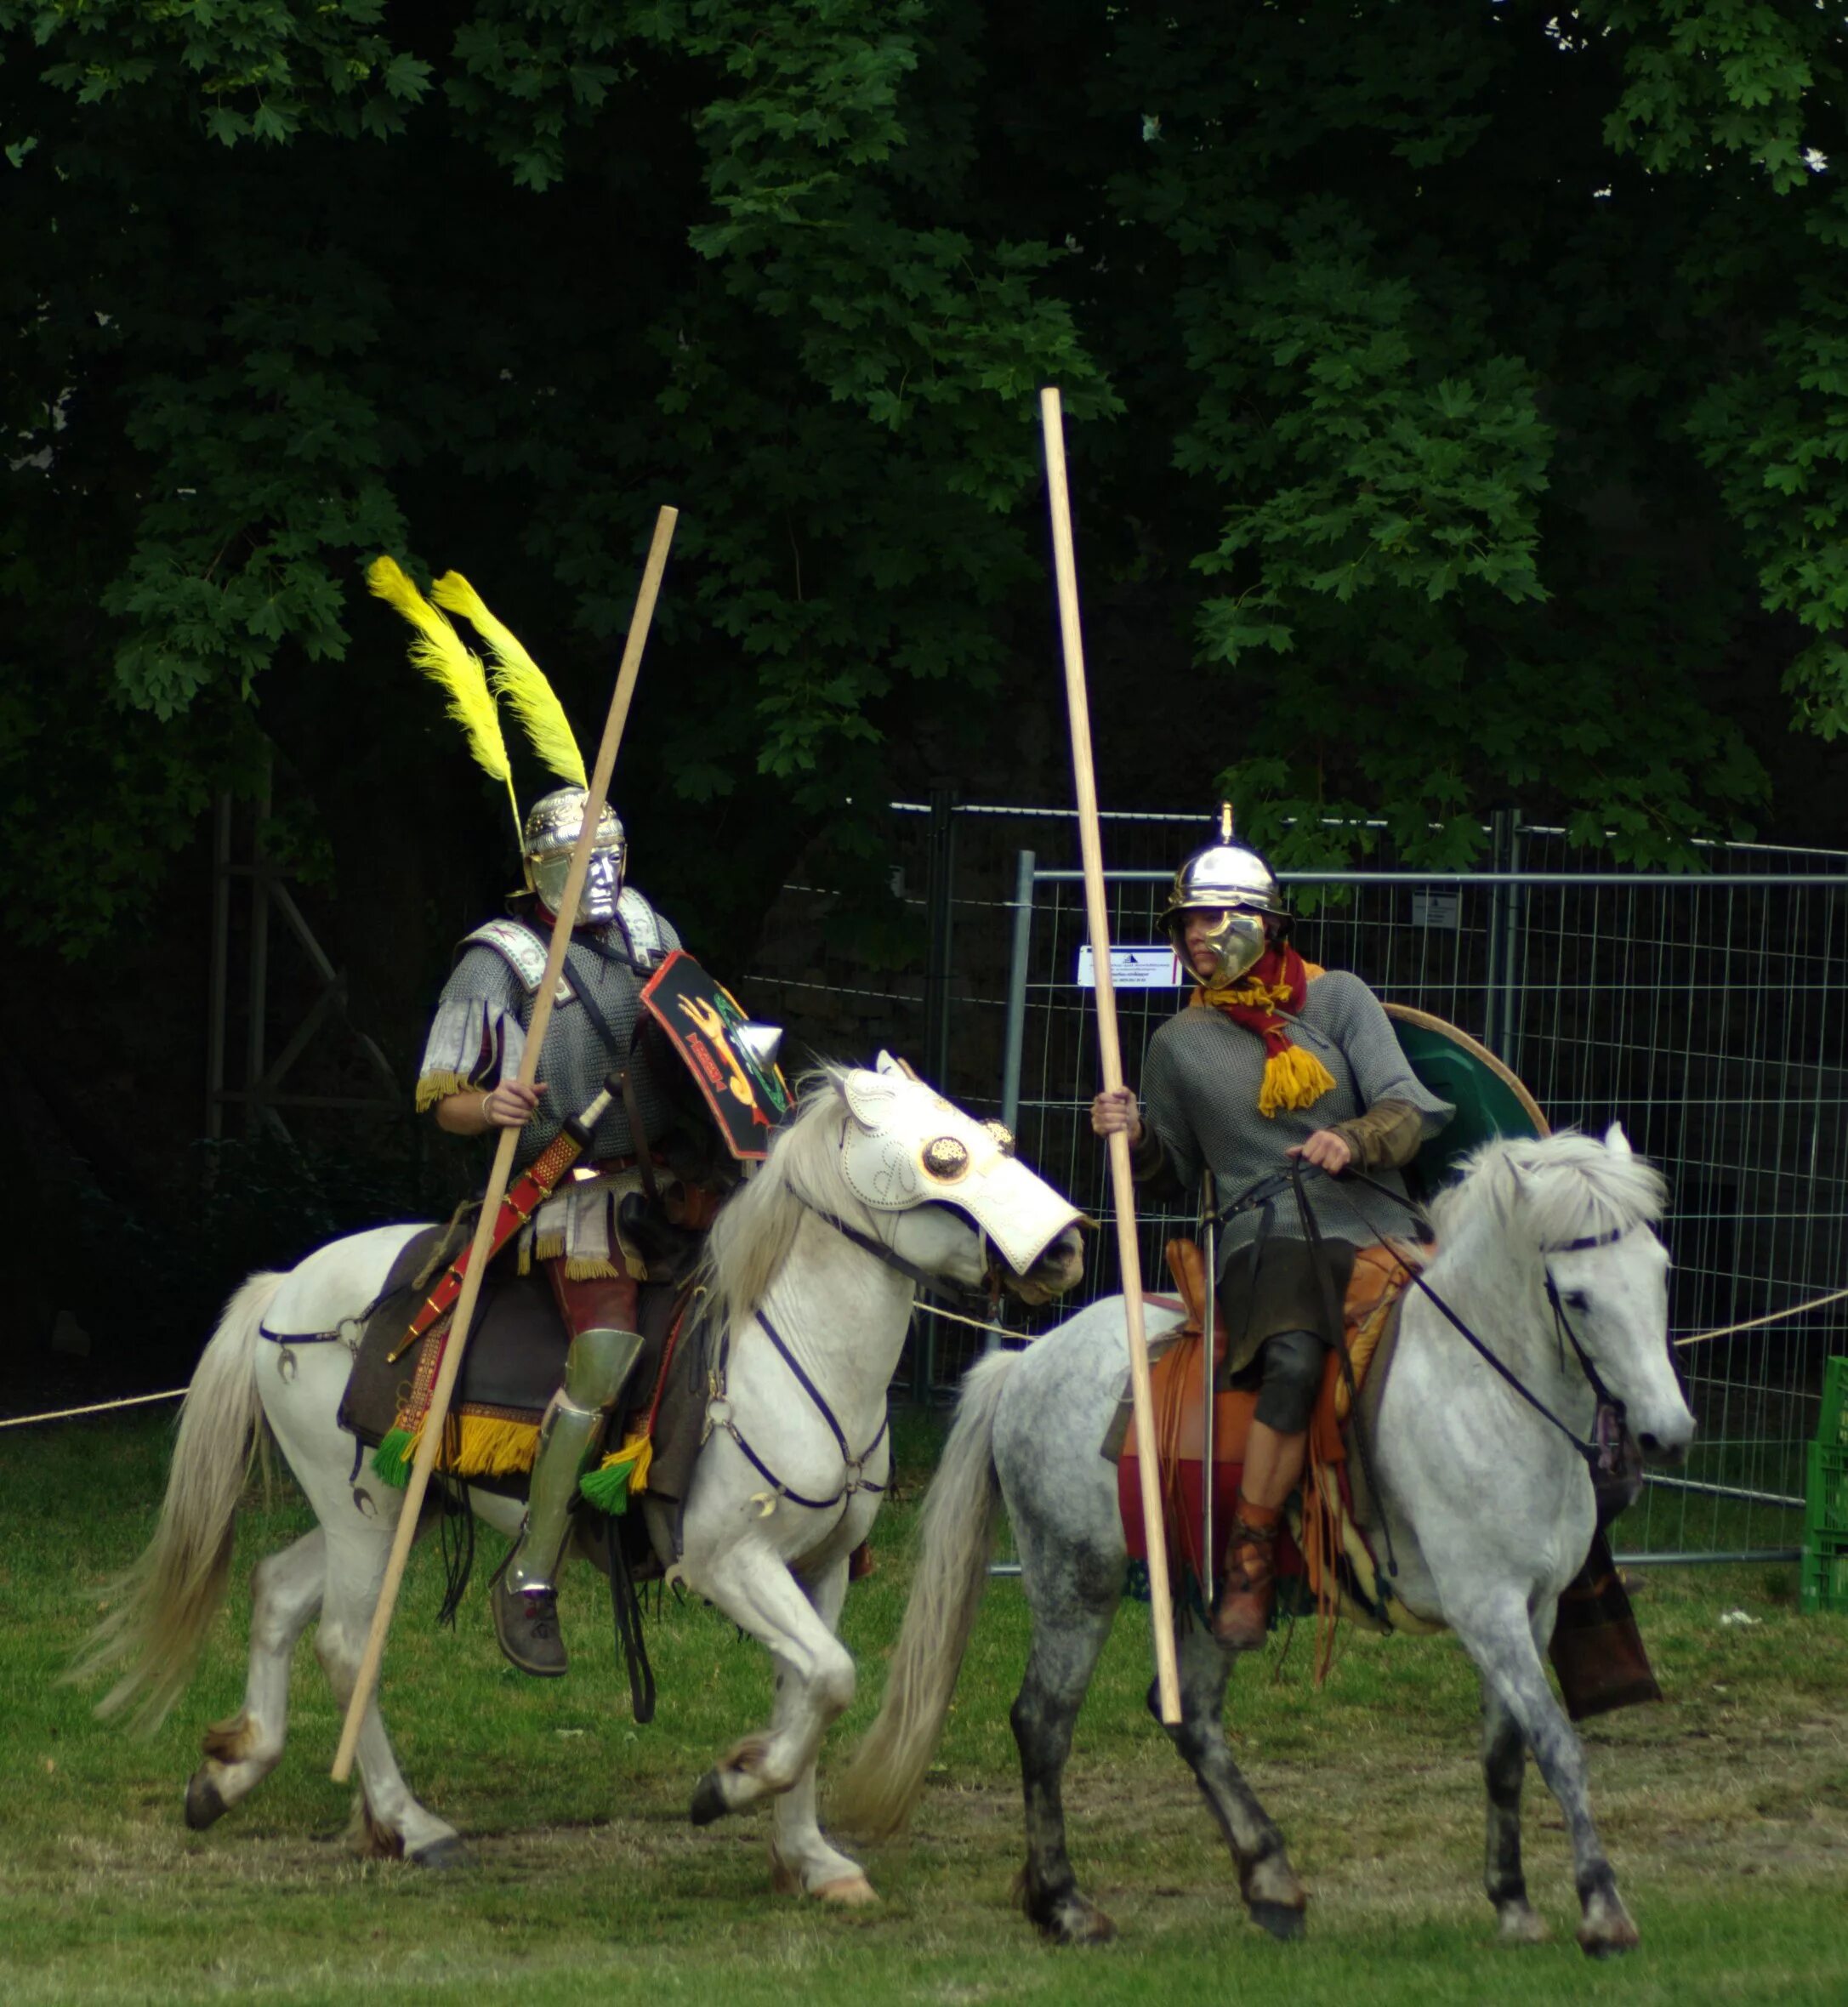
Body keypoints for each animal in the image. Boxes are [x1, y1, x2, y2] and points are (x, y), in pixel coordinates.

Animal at [71, 1060, 1083, 1902]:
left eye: (994, 1135)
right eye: (944, 1157)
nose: (1069, 1248)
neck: (795, 1345)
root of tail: (283, 1292)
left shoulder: (819, 1567)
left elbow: (811, 1689)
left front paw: (809, 1855)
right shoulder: (727, 1560)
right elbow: (829, 1678)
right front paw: (730, 1785)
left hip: (397, 1505)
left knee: (278, 1592)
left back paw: (233, 1773)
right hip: (365, 1508)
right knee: (349, 1644)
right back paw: (413, 1823)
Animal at [842, 1140, 1693, 1950]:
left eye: (1660, 1272)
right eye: (1576, 1297)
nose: (1666, 1433)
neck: (1481, 1391)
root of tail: (1025, 1364)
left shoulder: (1533, 1608)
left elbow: (1506, 1755)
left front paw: (1513, 1904)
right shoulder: (1486, 1609)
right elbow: (1557, 1746)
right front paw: (1602, 1912)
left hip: (1200, 1586)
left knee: (1188, 1714)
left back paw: (1269, 1879)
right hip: (1072, 1577)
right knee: (1042, 1720)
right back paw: (1065, 1906)